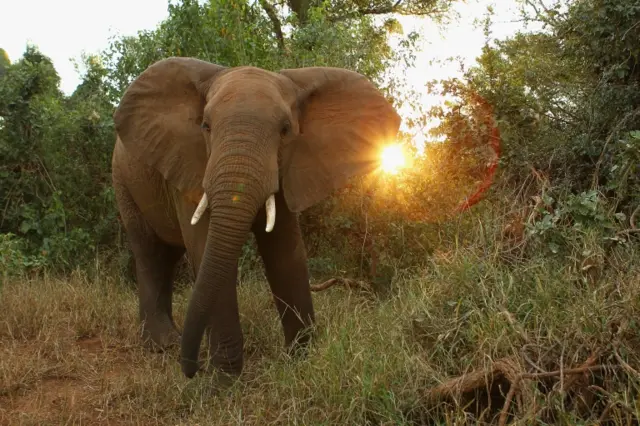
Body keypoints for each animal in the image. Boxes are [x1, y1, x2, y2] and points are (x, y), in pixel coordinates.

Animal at [110, 57, 400, 380]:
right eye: (205, 126)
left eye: (285, 130)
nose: (191, 370)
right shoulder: (190, 164)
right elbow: (205, 246)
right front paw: (224, 382)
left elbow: (285, 251)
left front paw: (302, 361)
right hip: (123, 180)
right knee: (150, 252)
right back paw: (163, 344)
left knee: (166, 257)